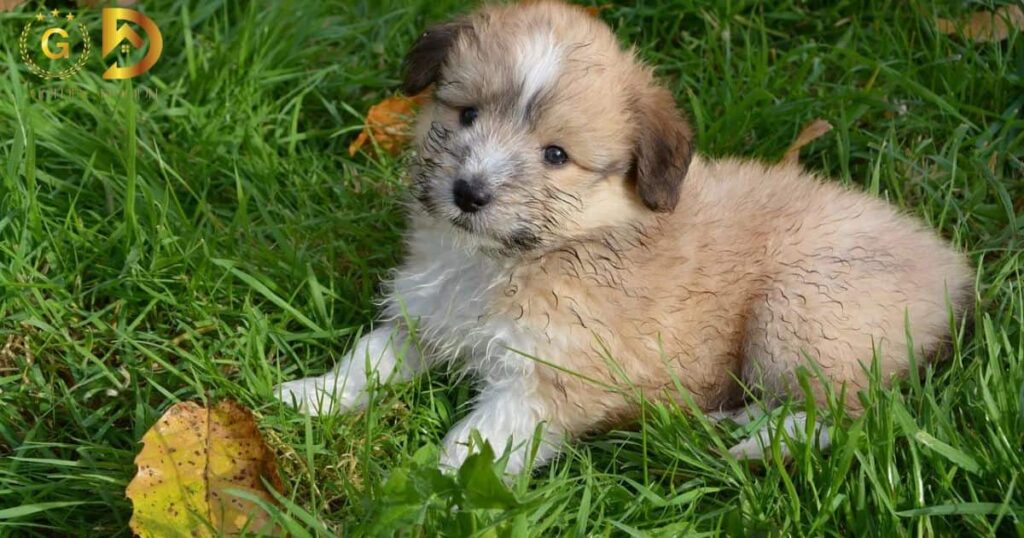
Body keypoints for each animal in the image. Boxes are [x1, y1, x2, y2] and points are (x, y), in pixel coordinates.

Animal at [274, 0, 974, 469]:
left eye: (556, 155)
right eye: (466, 114)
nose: (468, 193)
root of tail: (952, 270)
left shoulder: (550, 379)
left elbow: (478, 442)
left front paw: (438, 493)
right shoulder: (423, 316)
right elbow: (367, 360)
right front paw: (309, 397)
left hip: (801, 311)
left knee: (854, 411)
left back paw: (757, 440)